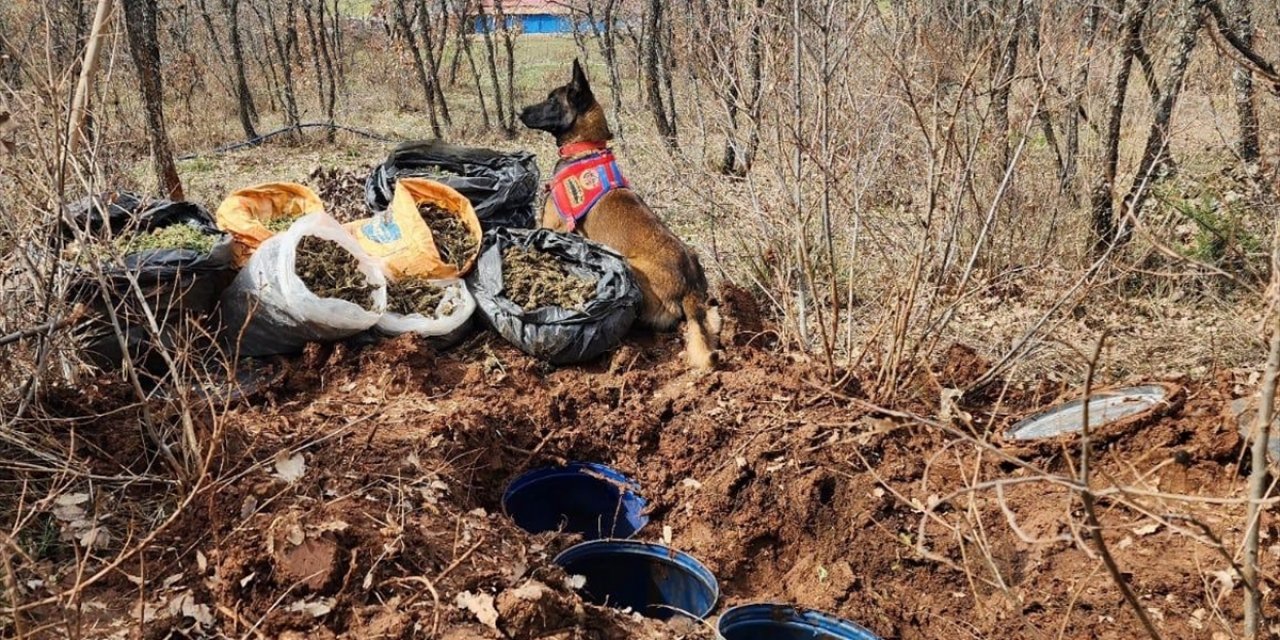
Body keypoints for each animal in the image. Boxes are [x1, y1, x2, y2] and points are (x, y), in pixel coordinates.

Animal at [517, 61, 721, 371]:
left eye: (552, 100)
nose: (520, 112)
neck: (585, 147)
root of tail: (690, 288)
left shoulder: (554, 225)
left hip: (631, 268)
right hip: (702, 290)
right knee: (711, 318)